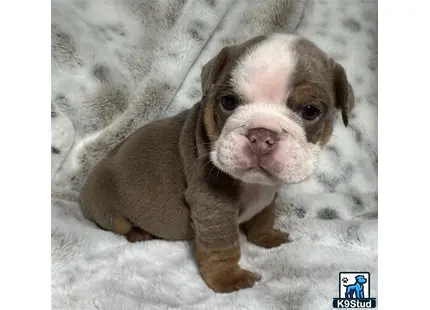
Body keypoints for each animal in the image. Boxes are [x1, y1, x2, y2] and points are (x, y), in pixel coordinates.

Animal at [79, 33, 354, 294]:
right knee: (120, 225)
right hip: (109, 210)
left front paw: (266, 237)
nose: (261, 135)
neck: (254, 185)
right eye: (228, 102)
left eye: (310, 111)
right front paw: (227, 278)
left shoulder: (268, 194)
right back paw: (139, 232)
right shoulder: (212, 204)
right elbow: (222, 245)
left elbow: (264, 216)